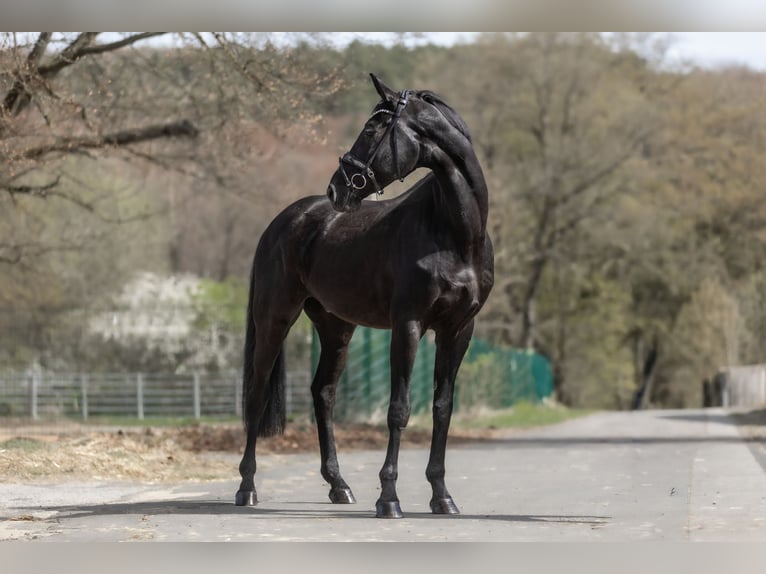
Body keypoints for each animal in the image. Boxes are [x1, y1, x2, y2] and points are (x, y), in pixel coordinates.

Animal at [235, 74, 494, 518]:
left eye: (373, 129)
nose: (336, 189)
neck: (455, 233)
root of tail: (283, 221)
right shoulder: (408, 326)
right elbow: (399, 410)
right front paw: (389, 498)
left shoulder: (458, 330)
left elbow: (442, 409)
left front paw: (442, 496)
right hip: (274, 319)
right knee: (256, 393)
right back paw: (247, 488)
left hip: (336, 328)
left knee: (323, 393)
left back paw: (339, 485)